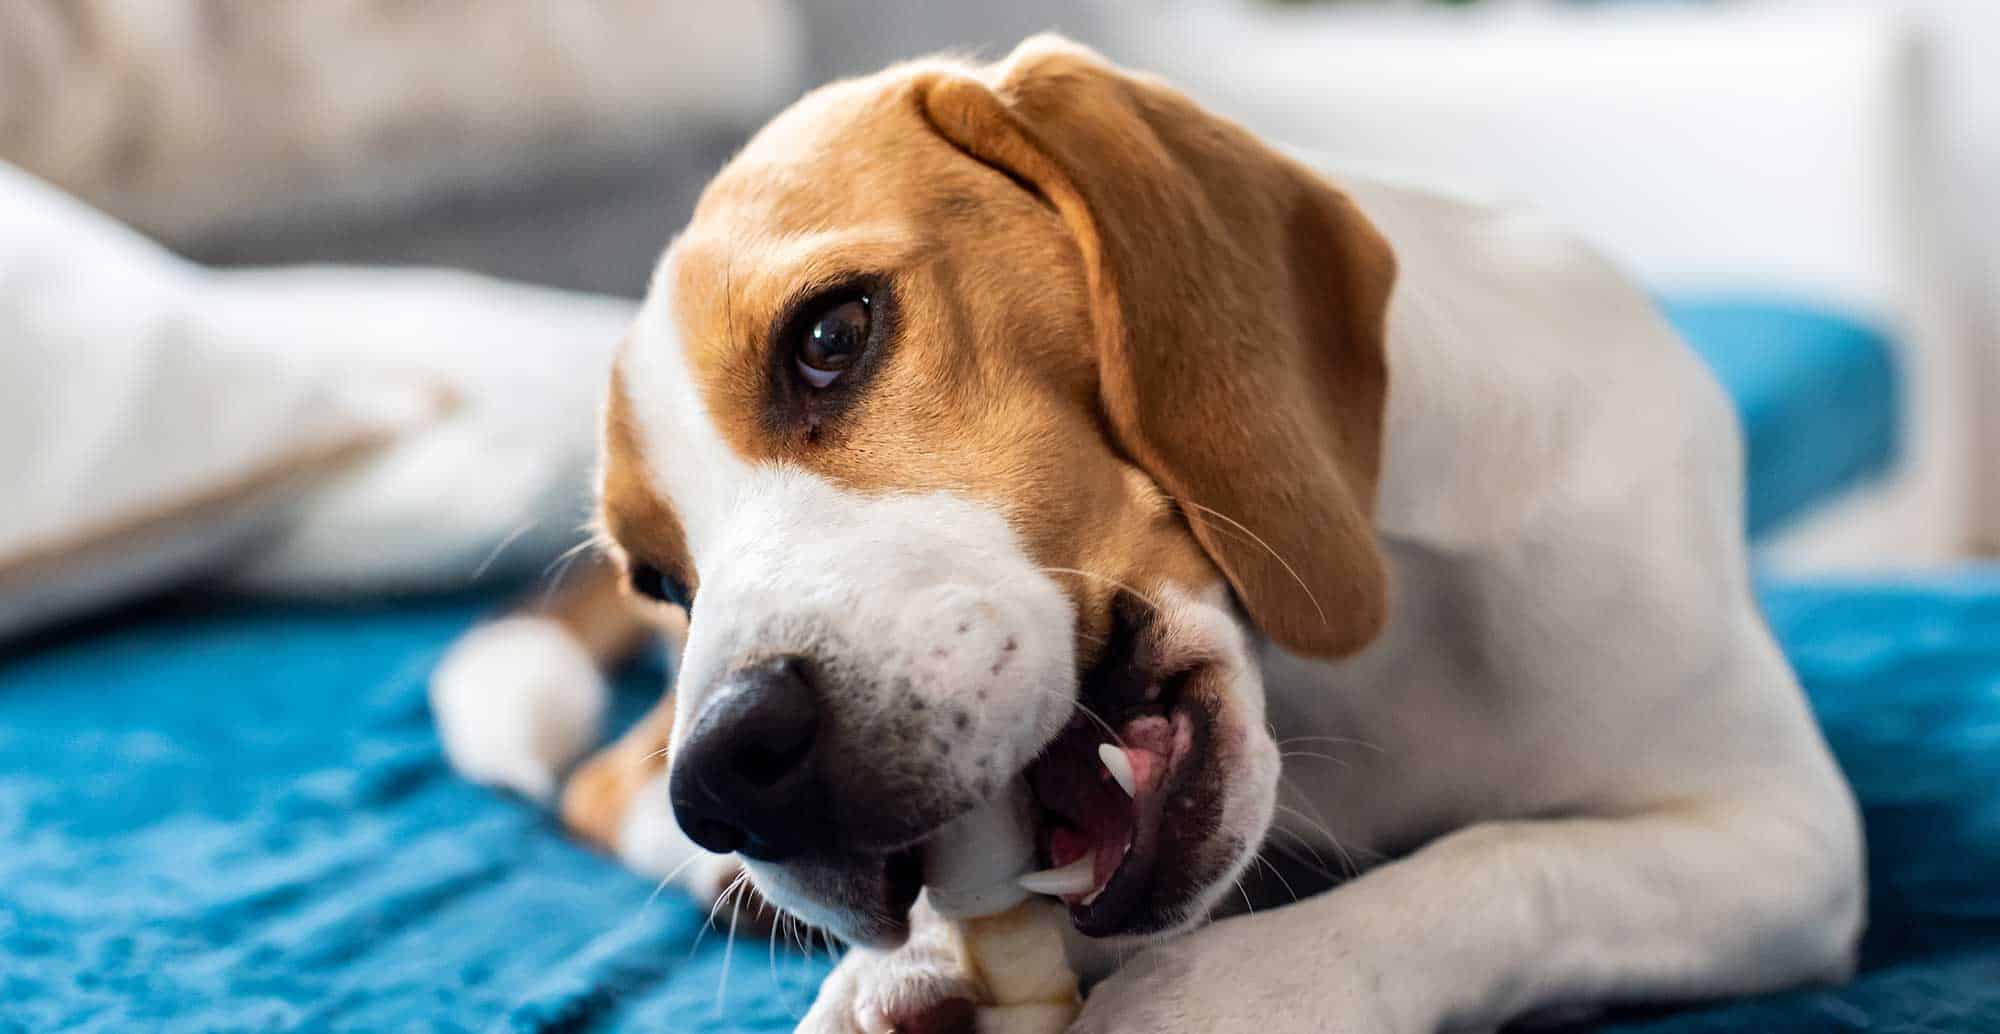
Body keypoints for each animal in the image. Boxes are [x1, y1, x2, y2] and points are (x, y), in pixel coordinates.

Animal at [430, 34, 1864, 1032]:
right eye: (661, 576)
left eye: (830, 335)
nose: (730, 774)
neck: (1352, 680)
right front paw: (914, 966)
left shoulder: (1782, 837)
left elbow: (1499, 861)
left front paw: (1239, 987)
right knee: (599, 788)